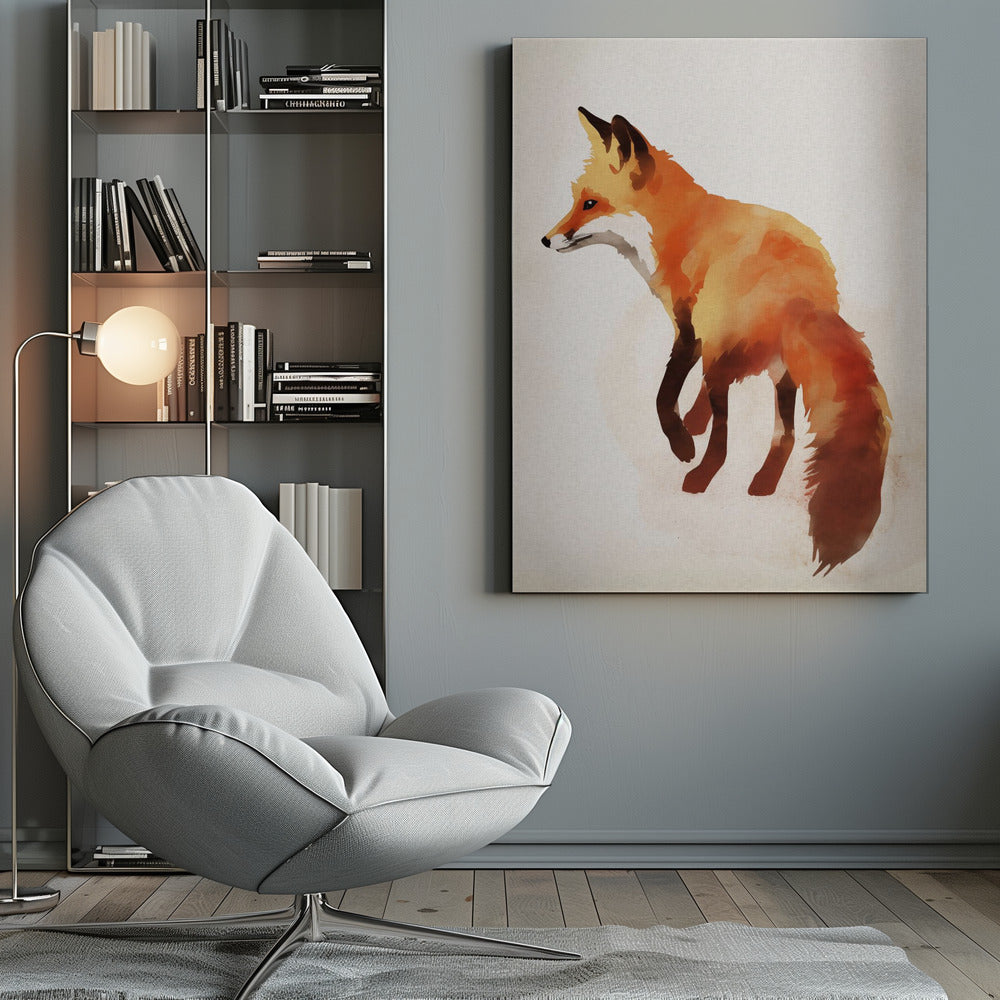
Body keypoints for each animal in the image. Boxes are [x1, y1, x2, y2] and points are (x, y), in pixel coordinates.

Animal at [542, 107, 892, 574]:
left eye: (591, 204)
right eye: (575, 199)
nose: (546, 239)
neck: (677, 227)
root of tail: (803, 293)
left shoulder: (689, 328)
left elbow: (663, 395)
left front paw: (683, 442)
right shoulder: (705, 338)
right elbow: (689, 396)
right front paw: (693, 422)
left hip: (732, 351)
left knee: (726, 440)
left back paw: (699, 477)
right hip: (779, 370)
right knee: (785, 435)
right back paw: (763, 482)